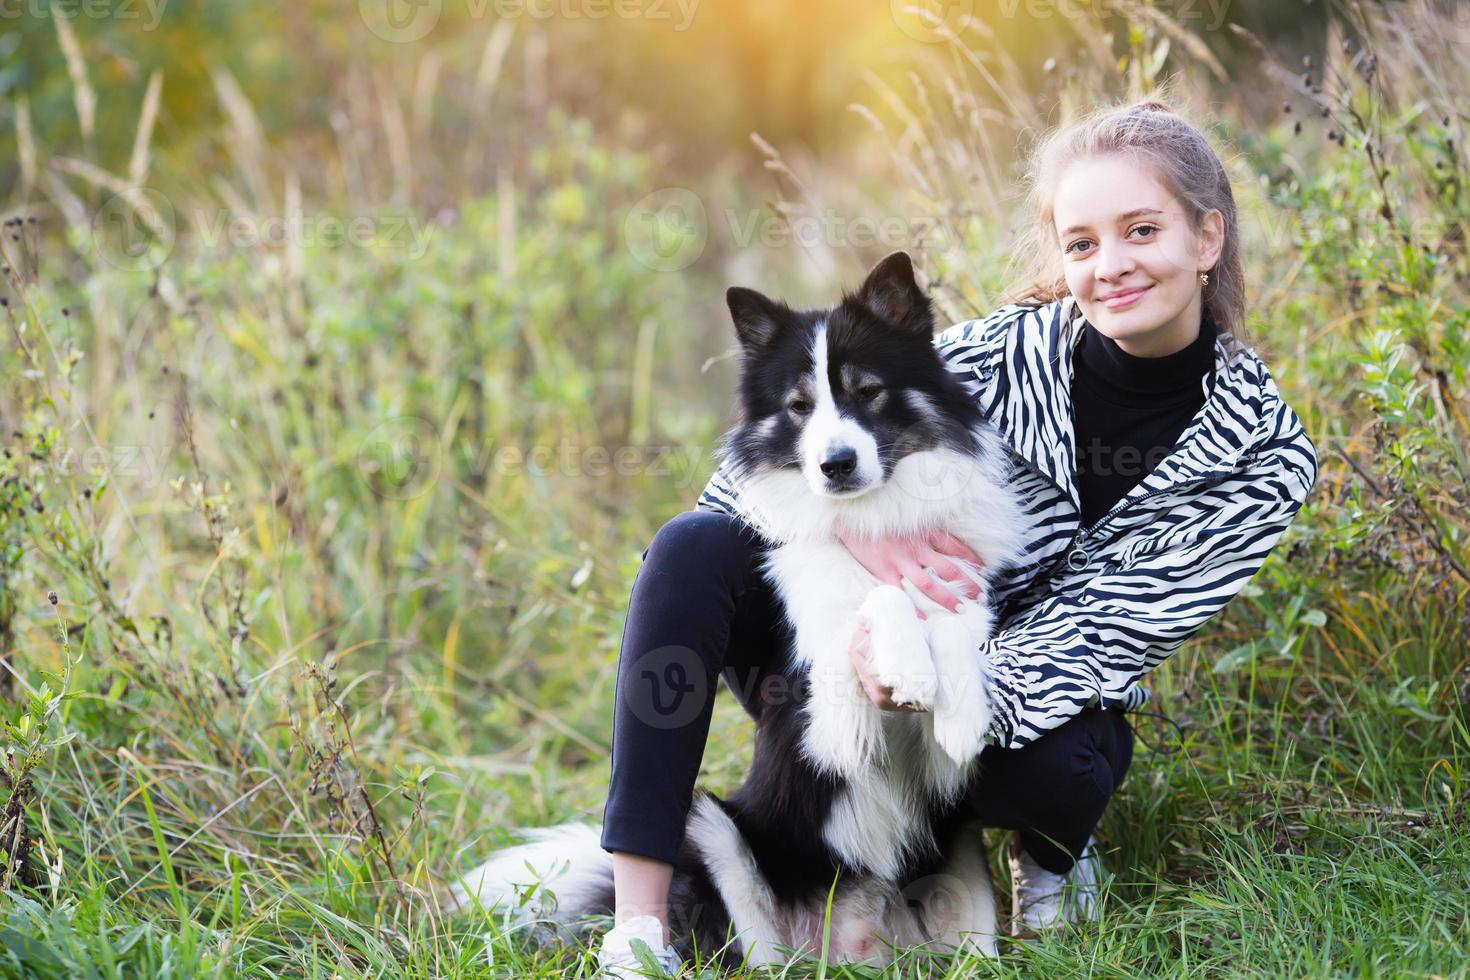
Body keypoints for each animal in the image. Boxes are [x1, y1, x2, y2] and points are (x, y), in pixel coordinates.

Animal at [446, 251, 1023, 963]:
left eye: (868, 391)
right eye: (799, 407)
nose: (835, 465)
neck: (873, 514)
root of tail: (854, 948)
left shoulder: (957, 598)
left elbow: (959, 633)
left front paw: (961, 716)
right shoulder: (829, 715)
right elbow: (881, 596)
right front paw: (909, 668)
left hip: (962, 889)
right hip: (714, 831)